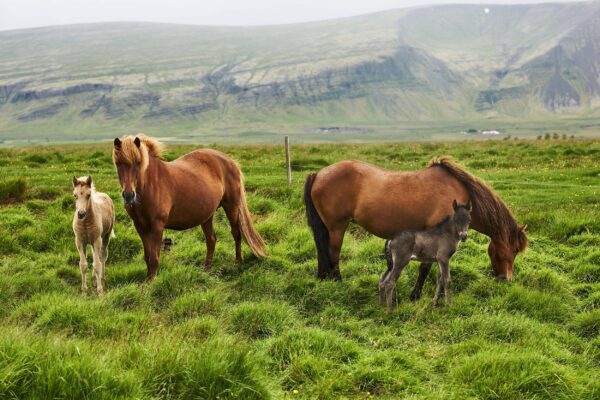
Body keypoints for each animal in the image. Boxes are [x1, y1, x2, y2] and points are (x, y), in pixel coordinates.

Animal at [112, 136, 264, 280]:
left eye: (138, 162)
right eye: (118, 163)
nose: (129, 195)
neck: (150, 185)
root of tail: (230, 161)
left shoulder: (157, 226)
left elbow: (154, 257)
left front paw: (151, 282)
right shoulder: (140, 226)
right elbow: (147, 256)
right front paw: (148, 279)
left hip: (231, 207)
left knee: (236, 234)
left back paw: (238, 262)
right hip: (207, 215)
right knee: (211, 240)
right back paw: (207, 270)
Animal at [304, 156, 524, 296]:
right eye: (512, 250)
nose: (505, 280)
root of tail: (319, 174)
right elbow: (425, 268)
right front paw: (415, 295)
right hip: (337, 226)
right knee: (333, 254)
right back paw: (337, 282)